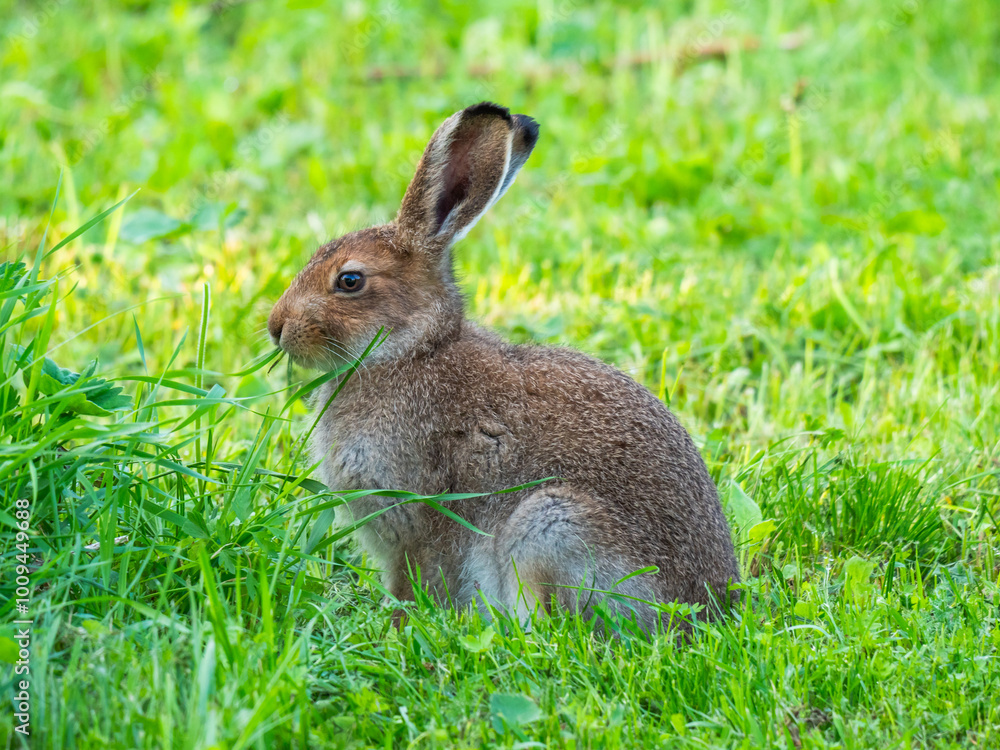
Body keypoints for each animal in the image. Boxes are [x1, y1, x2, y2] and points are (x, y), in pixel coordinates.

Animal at [268, 102, 740, 632]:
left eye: (349, 281)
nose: (276, 326)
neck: (411, 350)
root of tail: (700, 611)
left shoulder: (419, 515)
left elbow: (418, 577)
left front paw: (399, 626)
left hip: (548, 525)